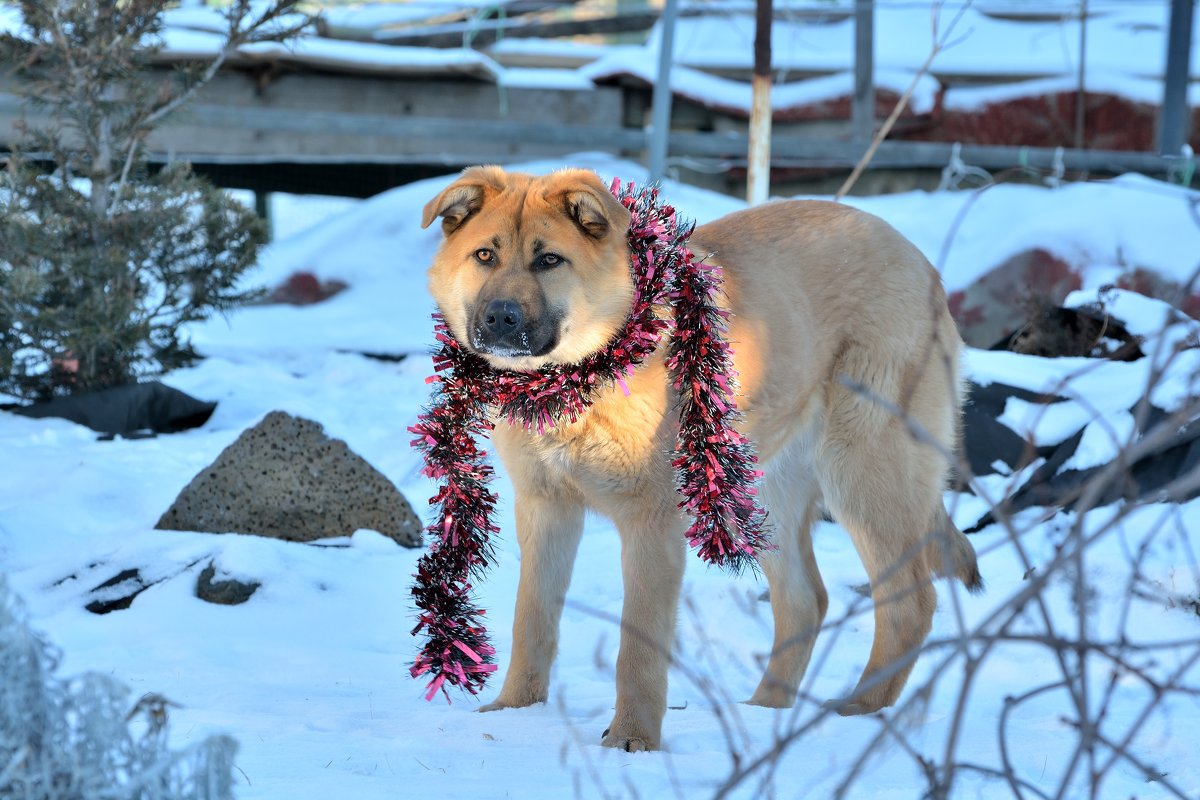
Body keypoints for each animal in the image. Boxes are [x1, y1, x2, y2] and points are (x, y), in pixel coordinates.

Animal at [417, 165, 979, 753]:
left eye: (549, 260)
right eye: (485, 255)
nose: (500, 319)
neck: (580, 373)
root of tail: (918, 259)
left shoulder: (652, 522)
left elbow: (638, 647)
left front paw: (631, 740)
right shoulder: (545, 507)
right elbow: (532, 619)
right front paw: (515, 712)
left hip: (864, 471)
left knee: (909, 604)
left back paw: (858, 713)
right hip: (762, 488)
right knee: (806, 599)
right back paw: (766, 714)